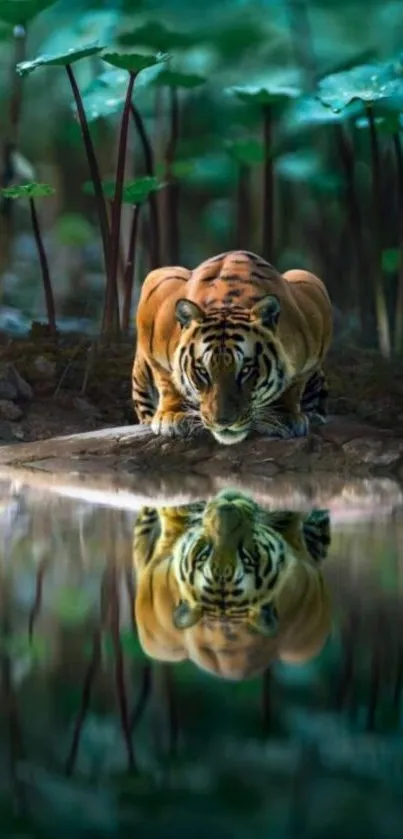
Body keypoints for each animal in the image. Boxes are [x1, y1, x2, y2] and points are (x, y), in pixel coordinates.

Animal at [133, 249, 334, 446]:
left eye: (245, 370)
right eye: (203, 371)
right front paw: (173, 415)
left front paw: (282, 416)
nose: (223, 422)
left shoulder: (314, 302)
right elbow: (167, 379)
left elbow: (294, 384)